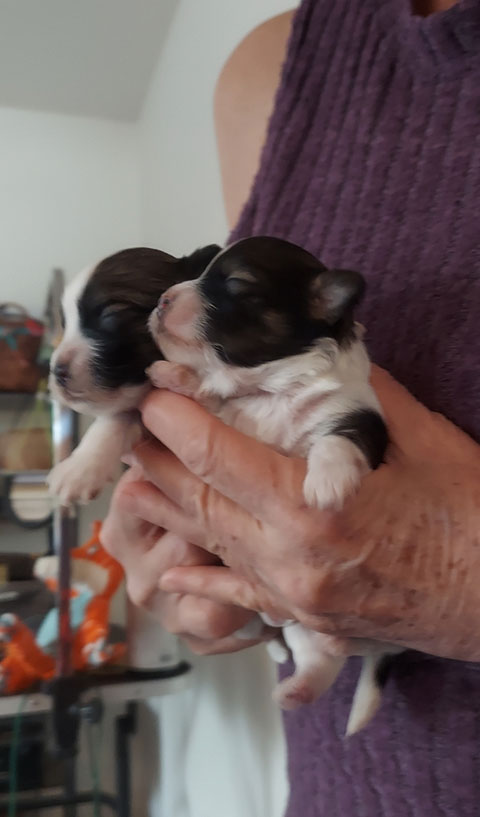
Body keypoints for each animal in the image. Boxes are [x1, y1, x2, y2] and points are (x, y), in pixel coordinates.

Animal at [47, 241, 220, 504]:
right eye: (65, 325)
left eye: (113, 313)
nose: (56, 371)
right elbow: (123, 413)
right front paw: (83, 463)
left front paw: (79, 470)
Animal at [147, 234, 398, 732]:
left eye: (237, 285)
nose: (162, 299)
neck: (267, 390)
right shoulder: (225, 409)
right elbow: (204, 393)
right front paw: (171, 375)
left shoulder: (360, 419)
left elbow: (337, 441)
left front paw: (327, 484)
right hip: (301, 627)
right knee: (317, 663)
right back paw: (292, 692)